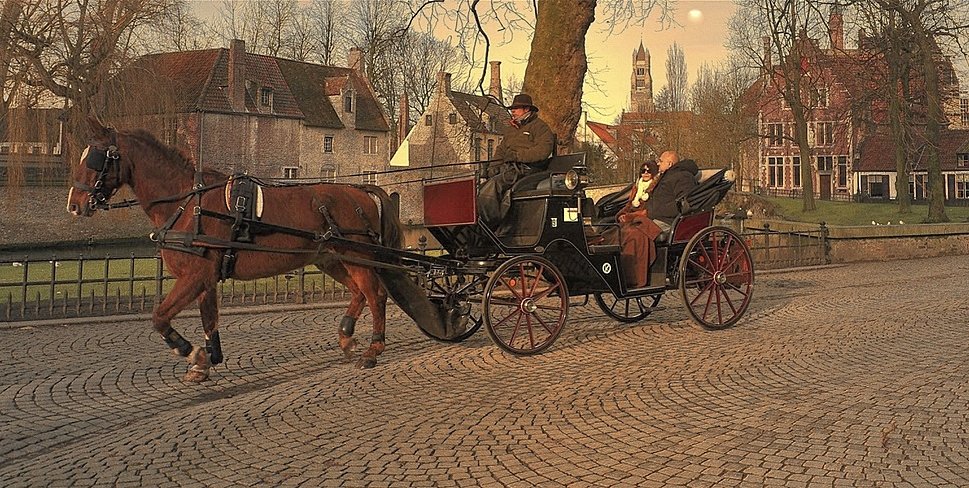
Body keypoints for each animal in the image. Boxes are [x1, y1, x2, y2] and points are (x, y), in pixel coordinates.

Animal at [67, 117, 446, 382]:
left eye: (96, 159)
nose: (74, 204)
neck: (189, 205)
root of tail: (362, 190)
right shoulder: (205, 277)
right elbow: (209, 319)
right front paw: (207, 360)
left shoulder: (194, 276)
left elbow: (160, 317)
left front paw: (191, 352)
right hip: (332, 258)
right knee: (359, 293)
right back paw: (346, 337)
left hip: (358, 258)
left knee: (375, 295)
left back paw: (372, 349)